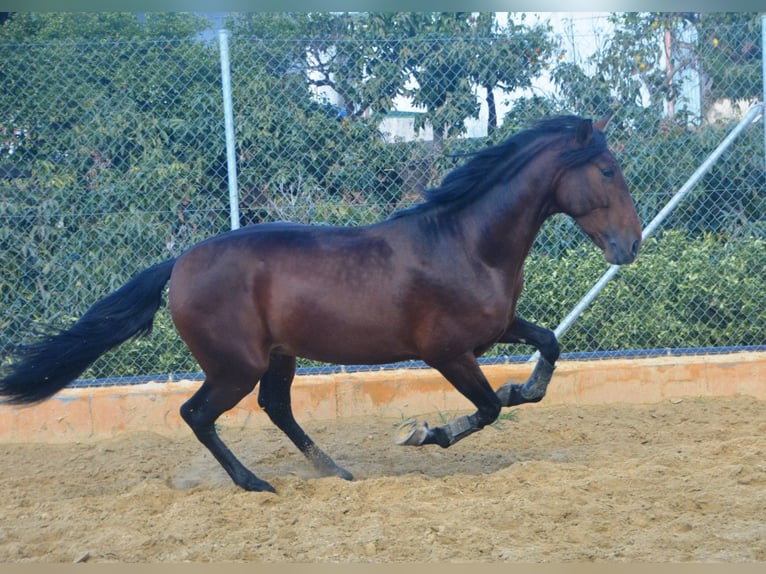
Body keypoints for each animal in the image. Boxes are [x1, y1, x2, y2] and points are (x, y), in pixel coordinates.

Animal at [0, 115, 640, 492]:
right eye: (608, 170)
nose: (631, 244)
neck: (466, 242)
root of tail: (178, 264)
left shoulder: (496, 329)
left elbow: (547, 348)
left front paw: (519, 388)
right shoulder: (447, 351)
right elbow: (485, 410)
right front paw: (423, 433)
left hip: (277, 356)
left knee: (275, 407)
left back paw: (331, 468)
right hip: (235, 366)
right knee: (198, 414)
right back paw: (255, 484)